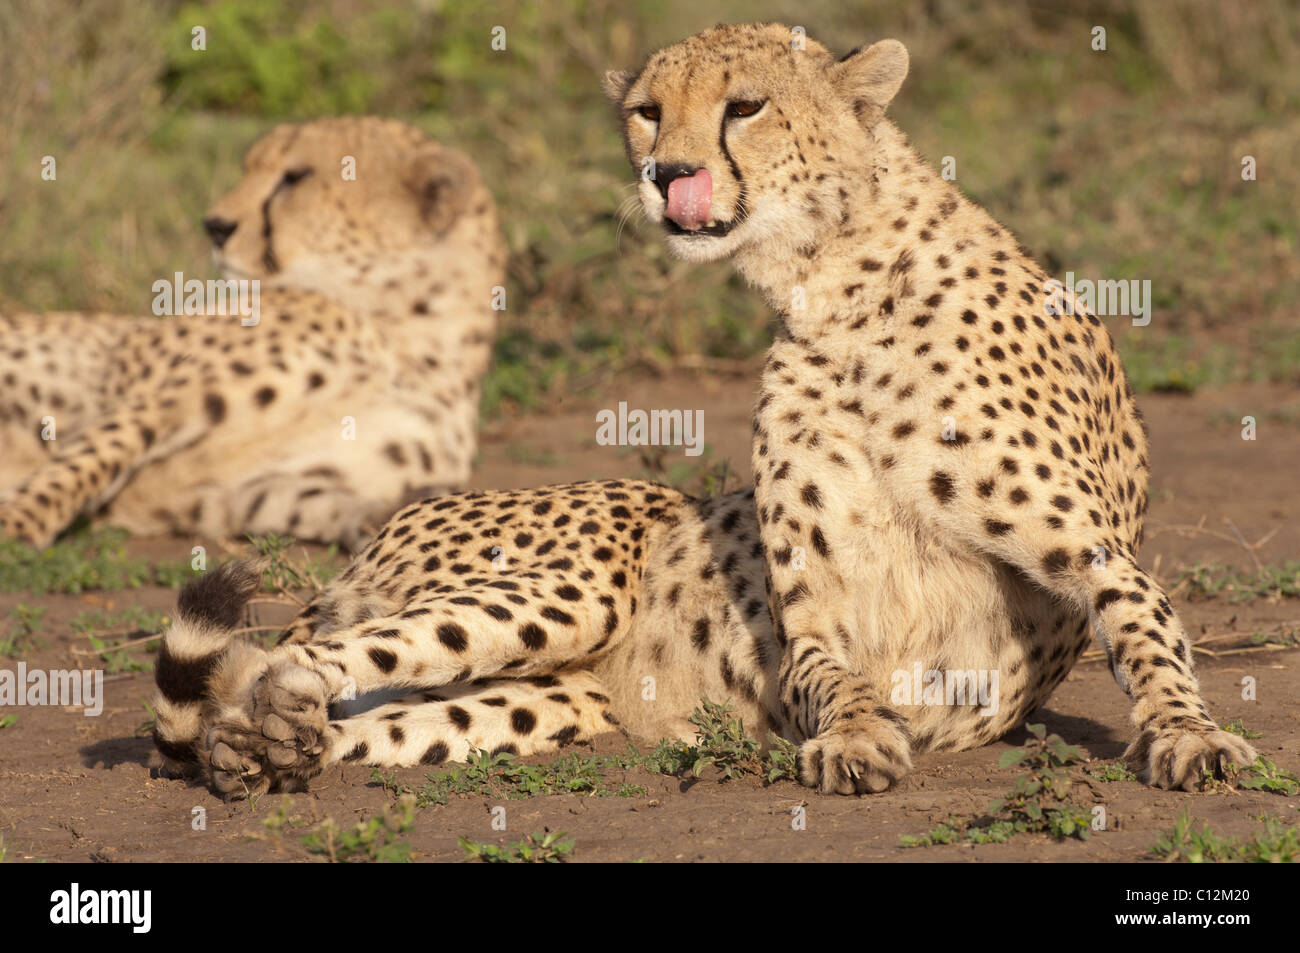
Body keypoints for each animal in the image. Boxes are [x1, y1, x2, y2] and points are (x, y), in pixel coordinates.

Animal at [0, 117, 501, 551]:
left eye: (295, 178)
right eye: (250, 169)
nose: (215, 226)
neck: (410, 332)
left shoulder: (243, 486)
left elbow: (316, 501)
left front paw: (387, 520)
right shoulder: (157, 392)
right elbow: (94, 450)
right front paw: (19, 522)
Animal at [149, 26, 1248, 795]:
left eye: (746, 107)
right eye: (645, 111)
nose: (667, 174)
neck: (835, 281)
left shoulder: (1095, 557)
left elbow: (1149, 636)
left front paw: (1192, 737)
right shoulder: (812, 611)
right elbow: (832, 672)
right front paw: (857, 735)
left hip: (533, 694)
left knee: (348, 704)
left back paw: (265, 747)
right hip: (562, 593)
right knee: (285, 655)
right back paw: (260, 729)